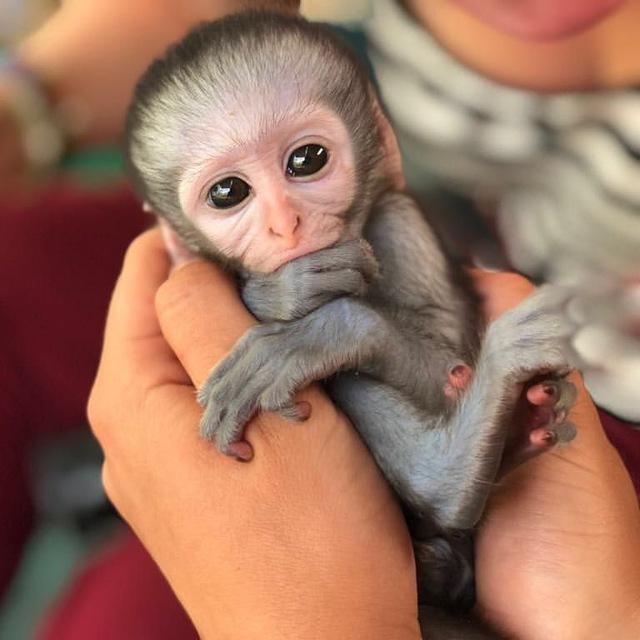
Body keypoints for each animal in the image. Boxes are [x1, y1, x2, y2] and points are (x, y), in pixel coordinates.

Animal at [124, 11, 577, 637]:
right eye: (228, 192)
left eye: (307, 160)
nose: (285, 224)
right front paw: (282, 290)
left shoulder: (398, 221)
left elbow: (450, 363)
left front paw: (311, 329)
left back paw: (449, 471)